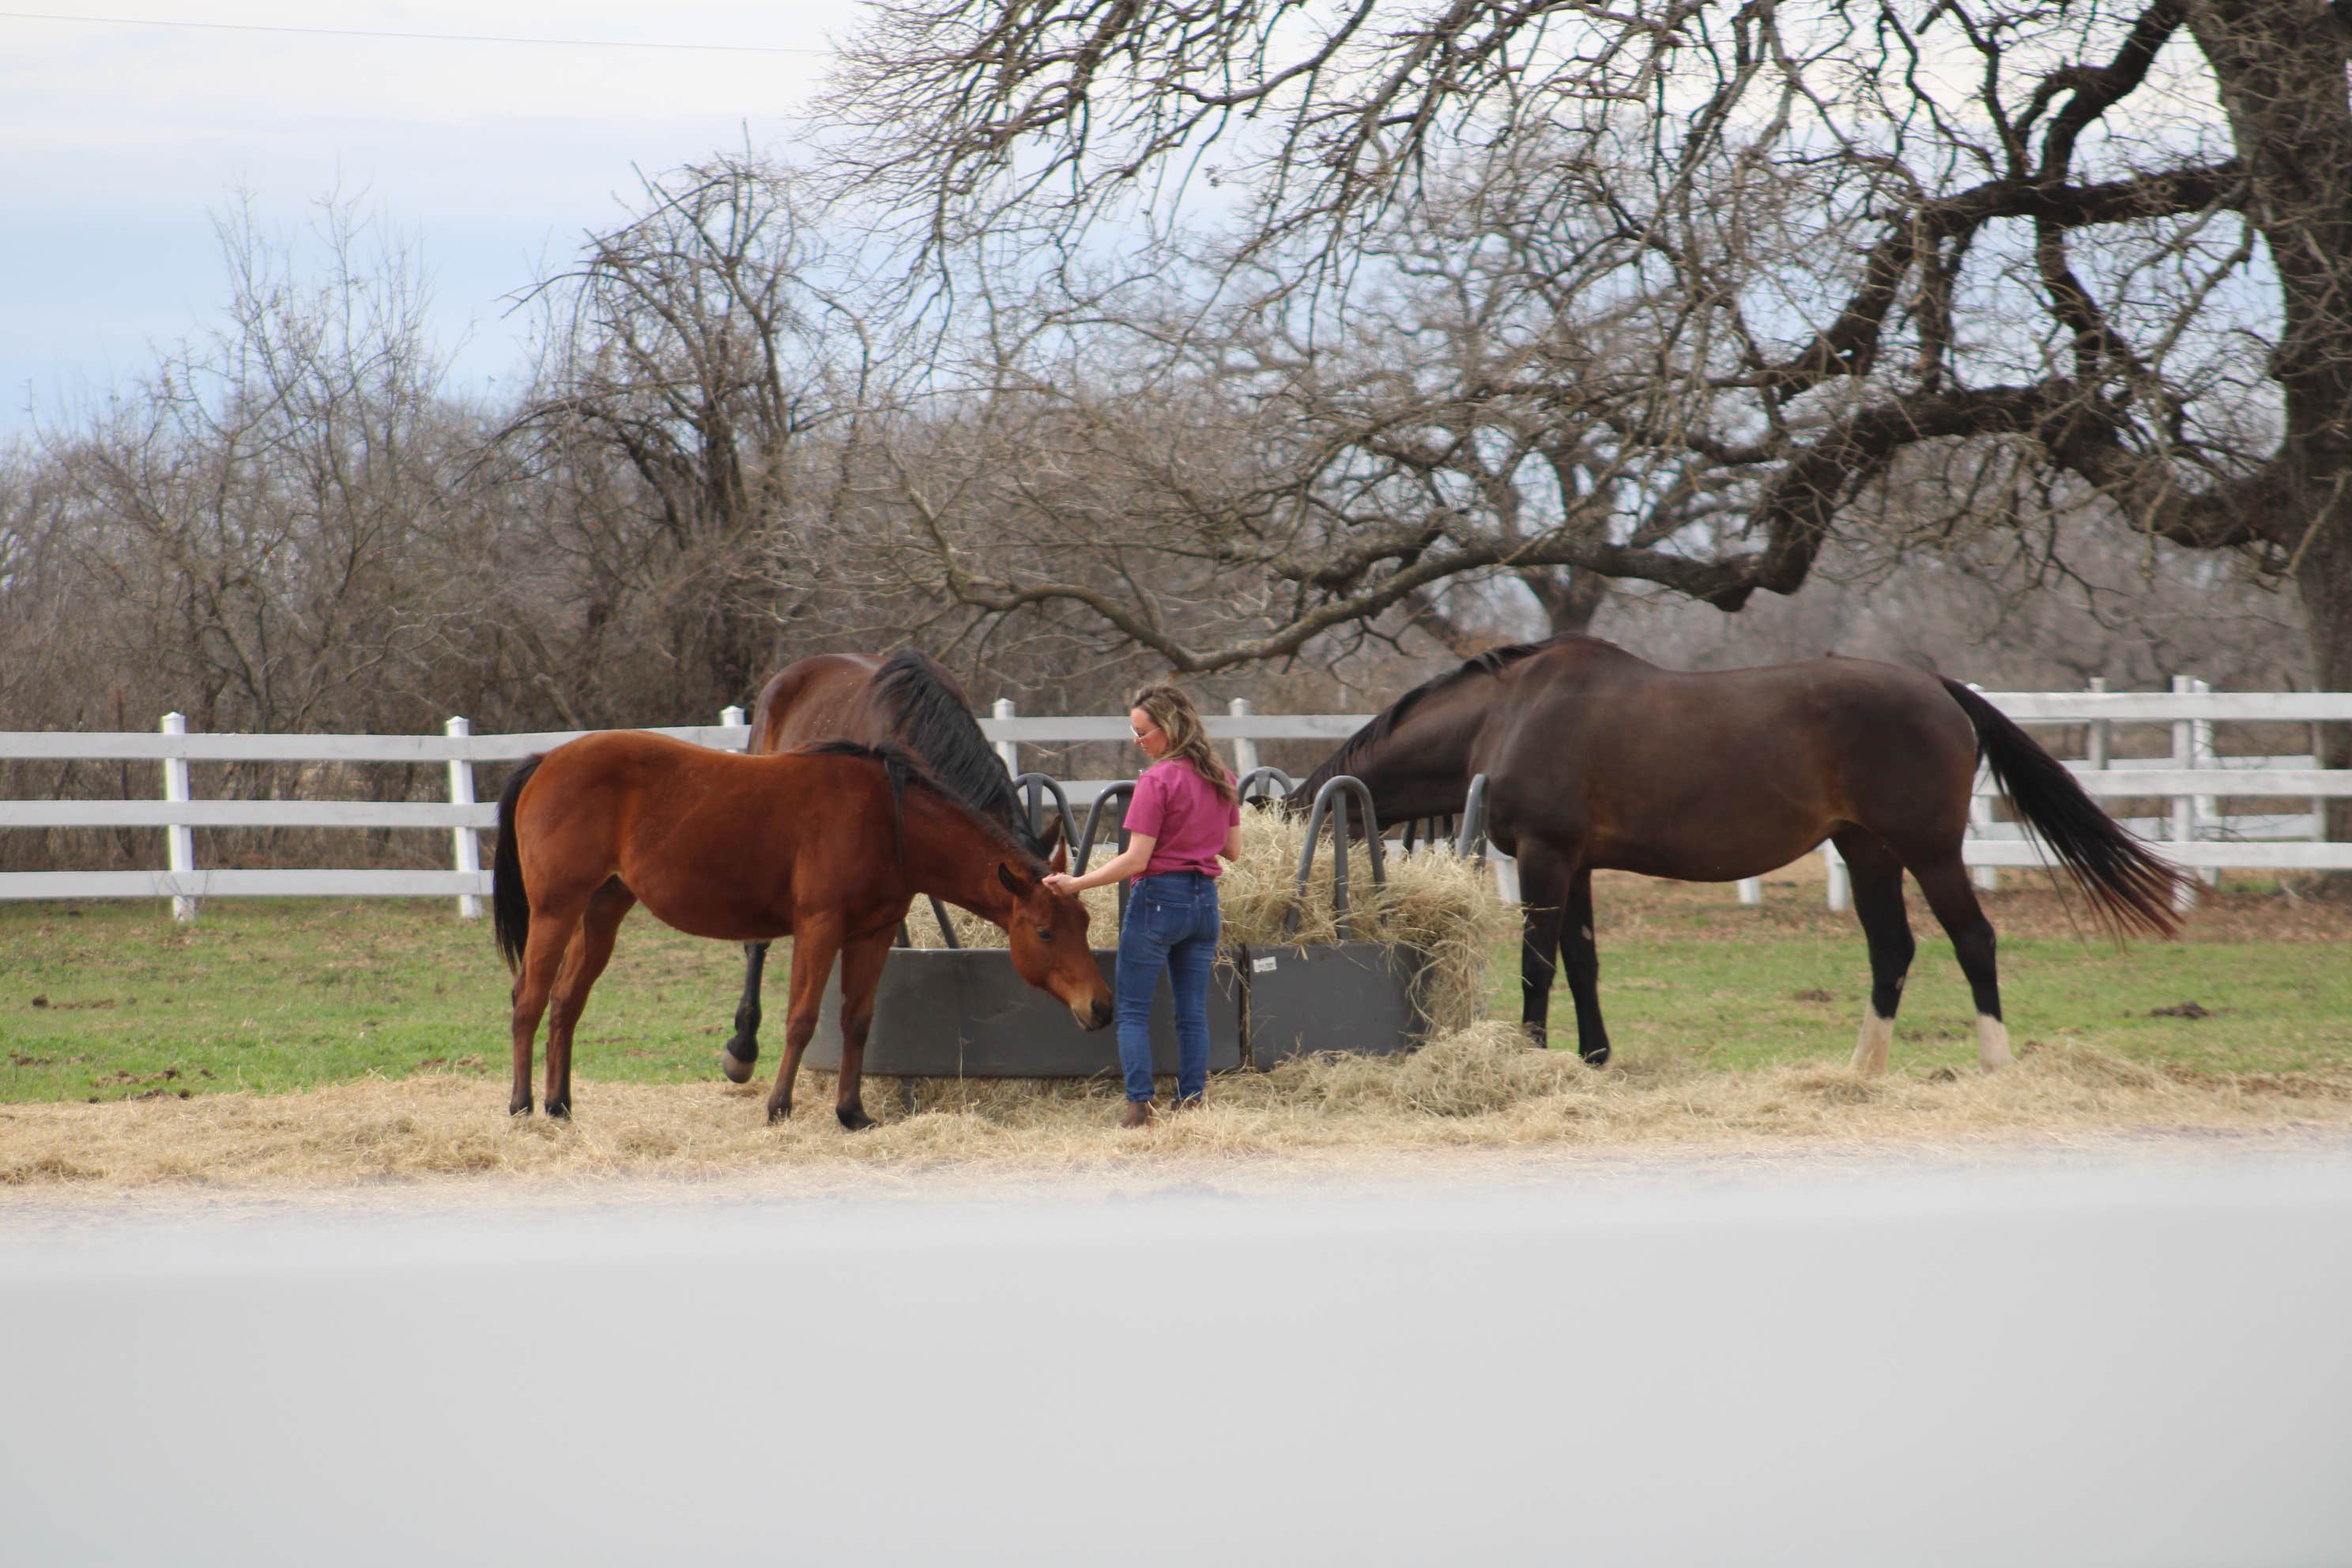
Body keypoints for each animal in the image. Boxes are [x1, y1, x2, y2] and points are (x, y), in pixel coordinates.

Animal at [491, 733, 1114, 1128]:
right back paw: (522, 1106)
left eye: (1085, 922)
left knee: (566, 1002)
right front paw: (780, 1108)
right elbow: (802, 1019)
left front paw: (852, 1113)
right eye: (1044, 932)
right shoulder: (819, 926)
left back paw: (560, 1106)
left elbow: (857, 1022)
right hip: (556, 910)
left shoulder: (873, 934)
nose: (1102, 1006)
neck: (887, 820)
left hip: (601, 911)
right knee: (529, 999)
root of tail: (545, 759)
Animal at [1298, 635, 2173, 1067]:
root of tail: (1940, 690)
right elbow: (1583, 961)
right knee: (1893, 950)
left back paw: (1994, 1064)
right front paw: (1594, 1058)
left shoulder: (1547, 856)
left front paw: (1531, 1057)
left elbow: (1538, 963)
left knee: (1973, 941)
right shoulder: (1579, 864)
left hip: (1928, 850)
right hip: (1867, 852)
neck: (1513, 712)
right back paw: (1859, 1071)